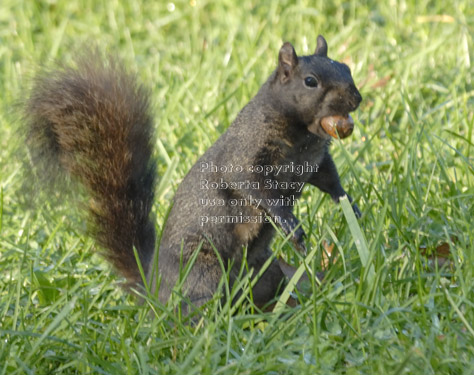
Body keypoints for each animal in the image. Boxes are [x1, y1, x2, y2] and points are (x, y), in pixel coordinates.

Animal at [24, 35, 362, 312]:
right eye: (310, 81)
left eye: (346, 67)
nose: (356, 98)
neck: (303, 134)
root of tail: (153, 284)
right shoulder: (245, 155)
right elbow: (252, 185)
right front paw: (289, 223)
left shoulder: (315, 161)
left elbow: (329, 179)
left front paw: (349, 205)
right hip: (202, 272)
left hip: (266, 270)